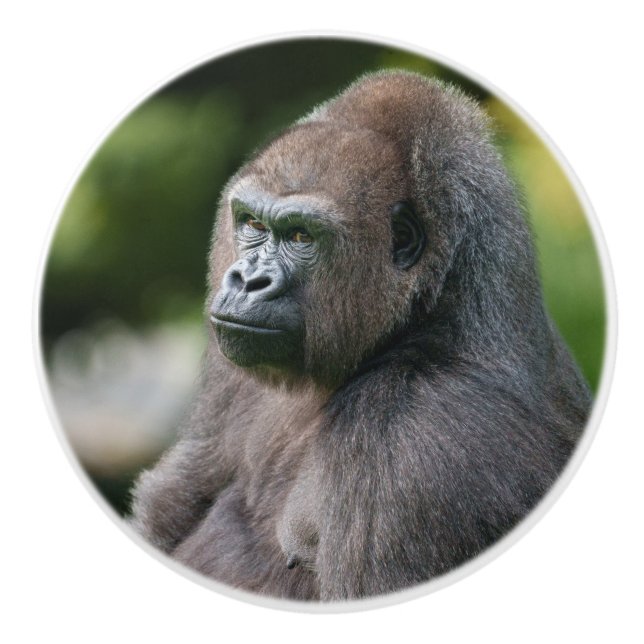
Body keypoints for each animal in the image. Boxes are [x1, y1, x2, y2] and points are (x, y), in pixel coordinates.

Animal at [130, 70, 592, 601]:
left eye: (301, 237)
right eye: (251, 224)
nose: (247, 281)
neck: (431, 309)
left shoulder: (409, 434)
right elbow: (175, 498)